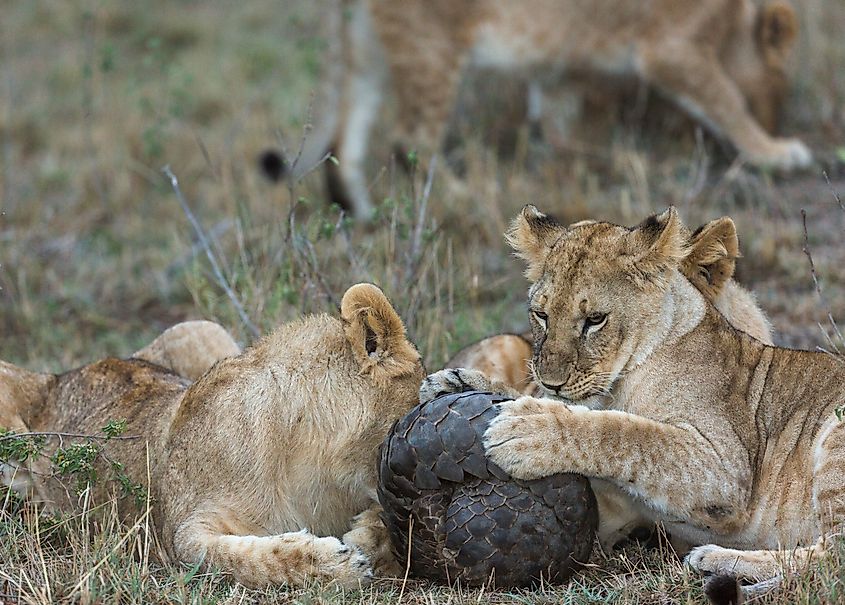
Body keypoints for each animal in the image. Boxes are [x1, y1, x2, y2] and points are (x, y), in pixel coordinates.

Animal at [0, 283, 423, 588]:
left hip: (201, 327)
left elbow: (384, 524)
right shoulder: (177, 532)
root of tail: (60, 377)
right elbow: (233, 559)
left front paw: (364, 538)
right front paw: (334, 563)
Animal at [274, 0, 810, 219]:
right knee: (413, 138)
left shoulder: (558, 66)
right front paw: (776, 153)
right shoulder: (671, 48)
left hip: (373, 43)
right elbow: (727, 100)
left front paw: (590, 162)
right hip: (431, 46)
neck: (733, 27)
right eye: (780, 91)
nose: (778, 122)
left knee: (347, 134)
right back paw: (462, 197)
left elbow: (557, 120)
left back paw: (359, 212)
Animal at [425, 206, 844, 600]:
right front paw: (456, 382)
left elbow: (630, 434)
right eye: (541, 314)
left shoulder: (727, 470)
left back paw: (712, 560)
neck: (621, 379)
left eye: (595, 319)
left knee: (833, 558)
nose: (551, 381)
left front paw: (529, 430)